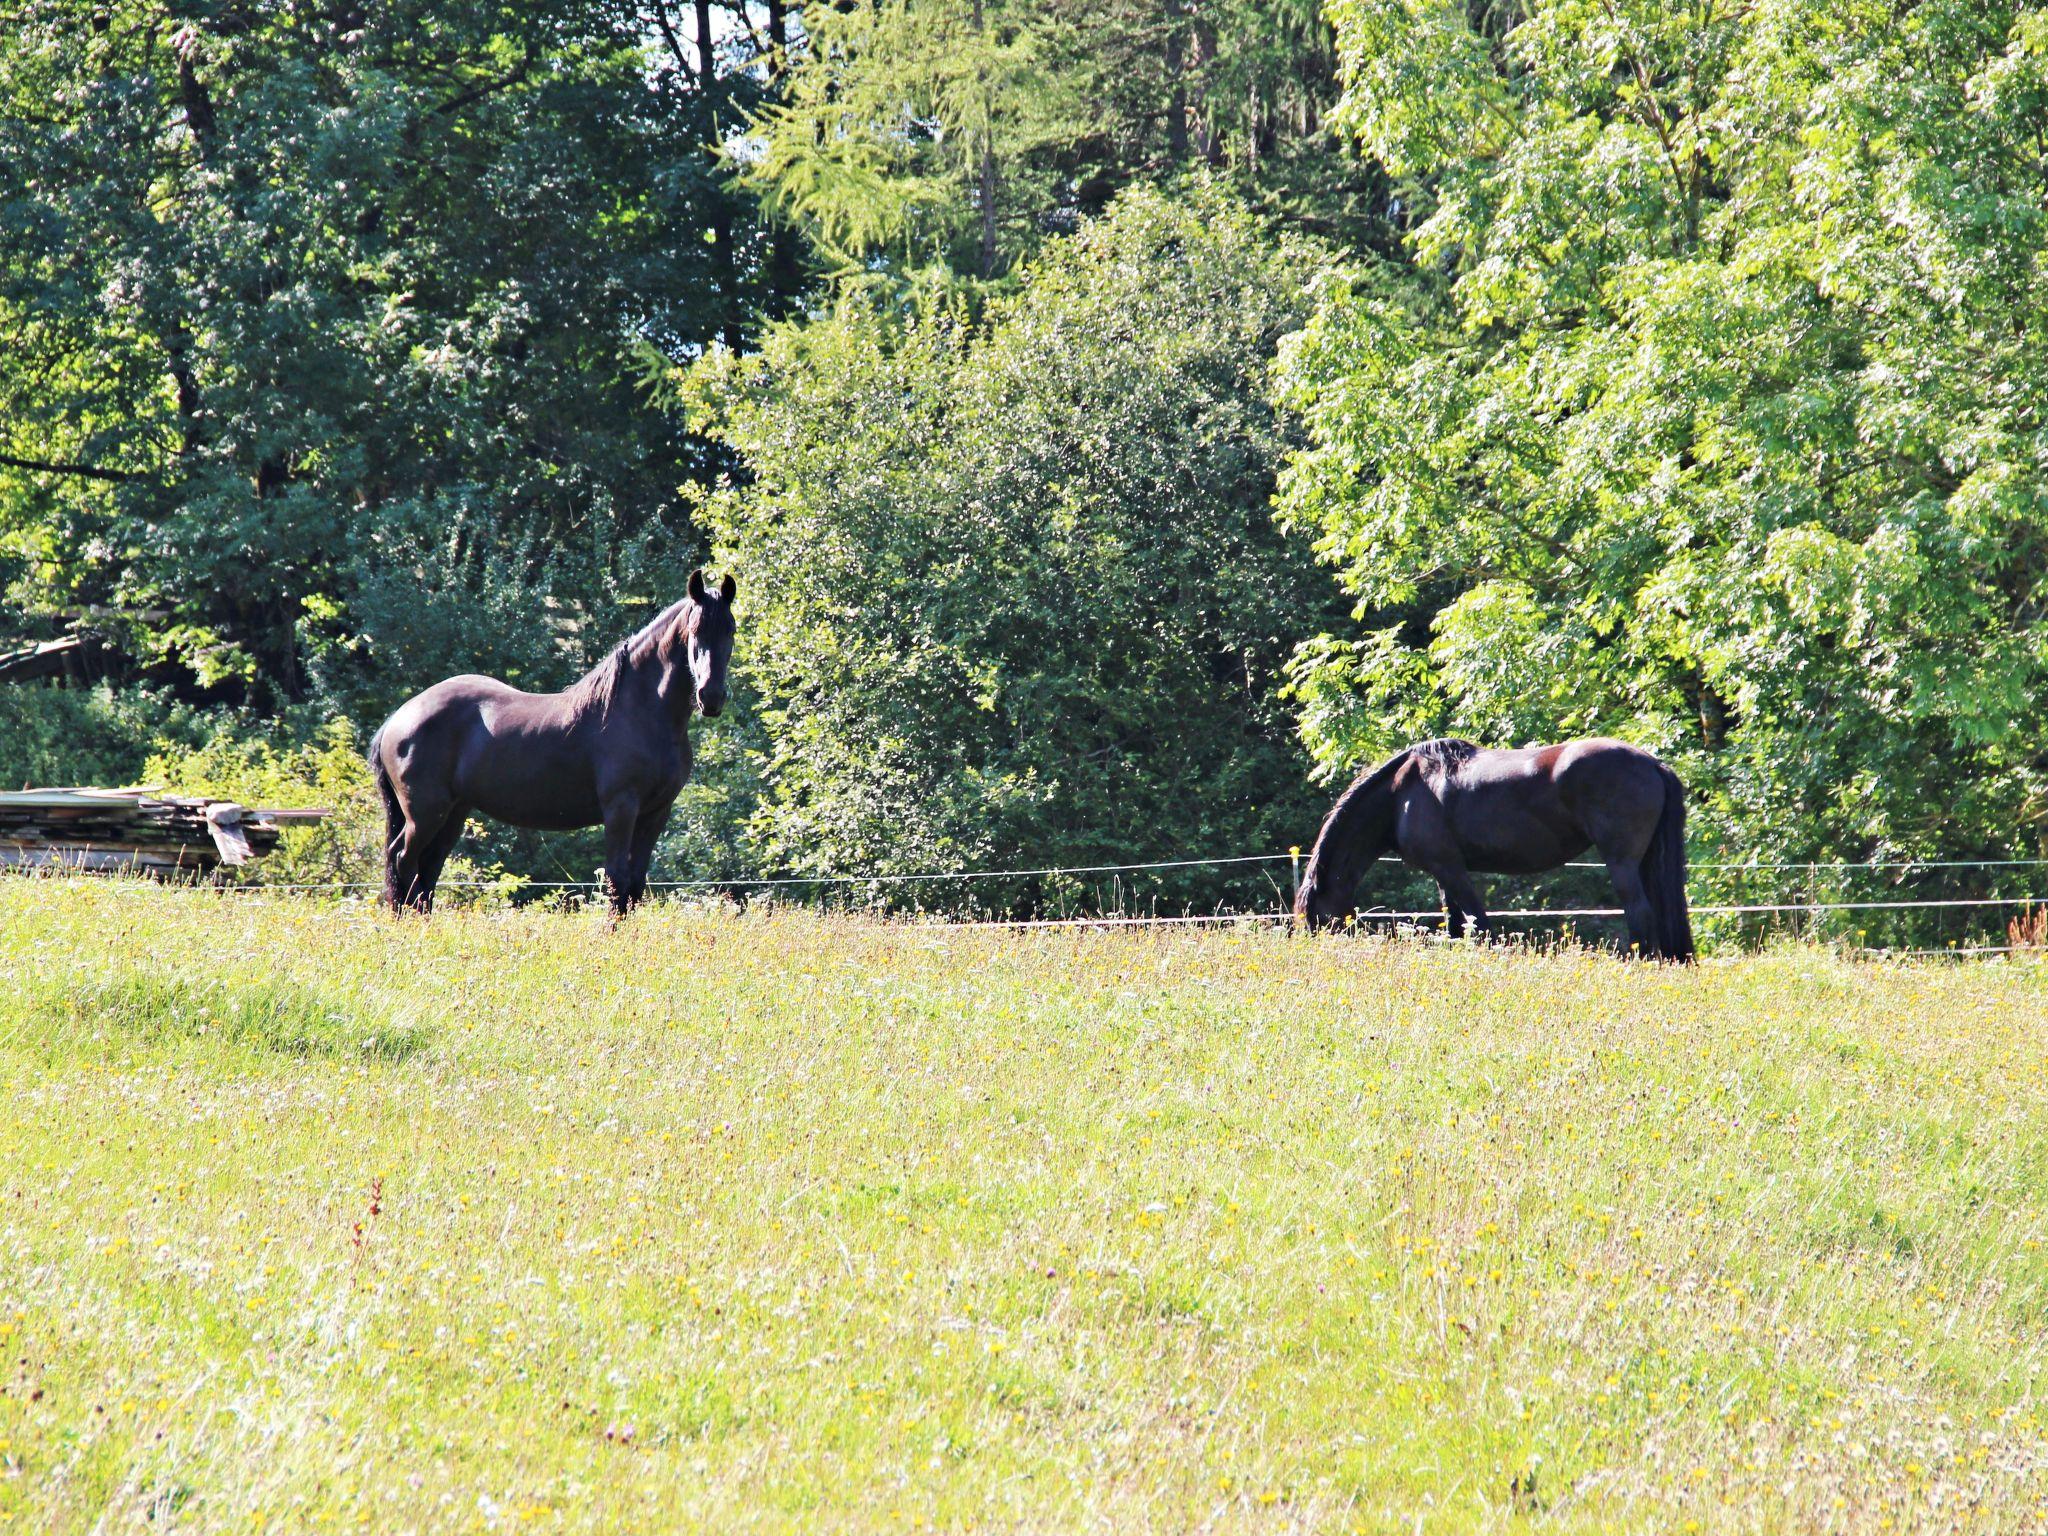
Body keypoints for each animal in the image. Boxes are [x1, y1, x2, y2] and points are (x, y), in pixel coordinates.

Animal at [366, 573, 737, 913]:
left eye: (730, 631)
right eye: (695, 630)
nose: (711, 696)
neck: (640, 711)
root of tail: (399, 718)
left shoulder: (656, 812)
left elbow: (634, 884)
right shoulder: (621, 808)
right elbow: (617, 880)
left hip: (453, 812)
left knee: (428, 867)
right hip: (425, 812)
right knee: (404, 859)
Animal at [1294, 737, 1695, 962]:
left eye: (1314, 917)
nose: (1314, 953)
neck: (1401, 794)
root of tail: (1653, 764)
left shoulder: (1451, 869)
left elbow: (1479, 924)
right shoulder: (1443, 874)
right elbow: (1457, 925)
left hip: (1621, 863)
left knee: (1639, 913)